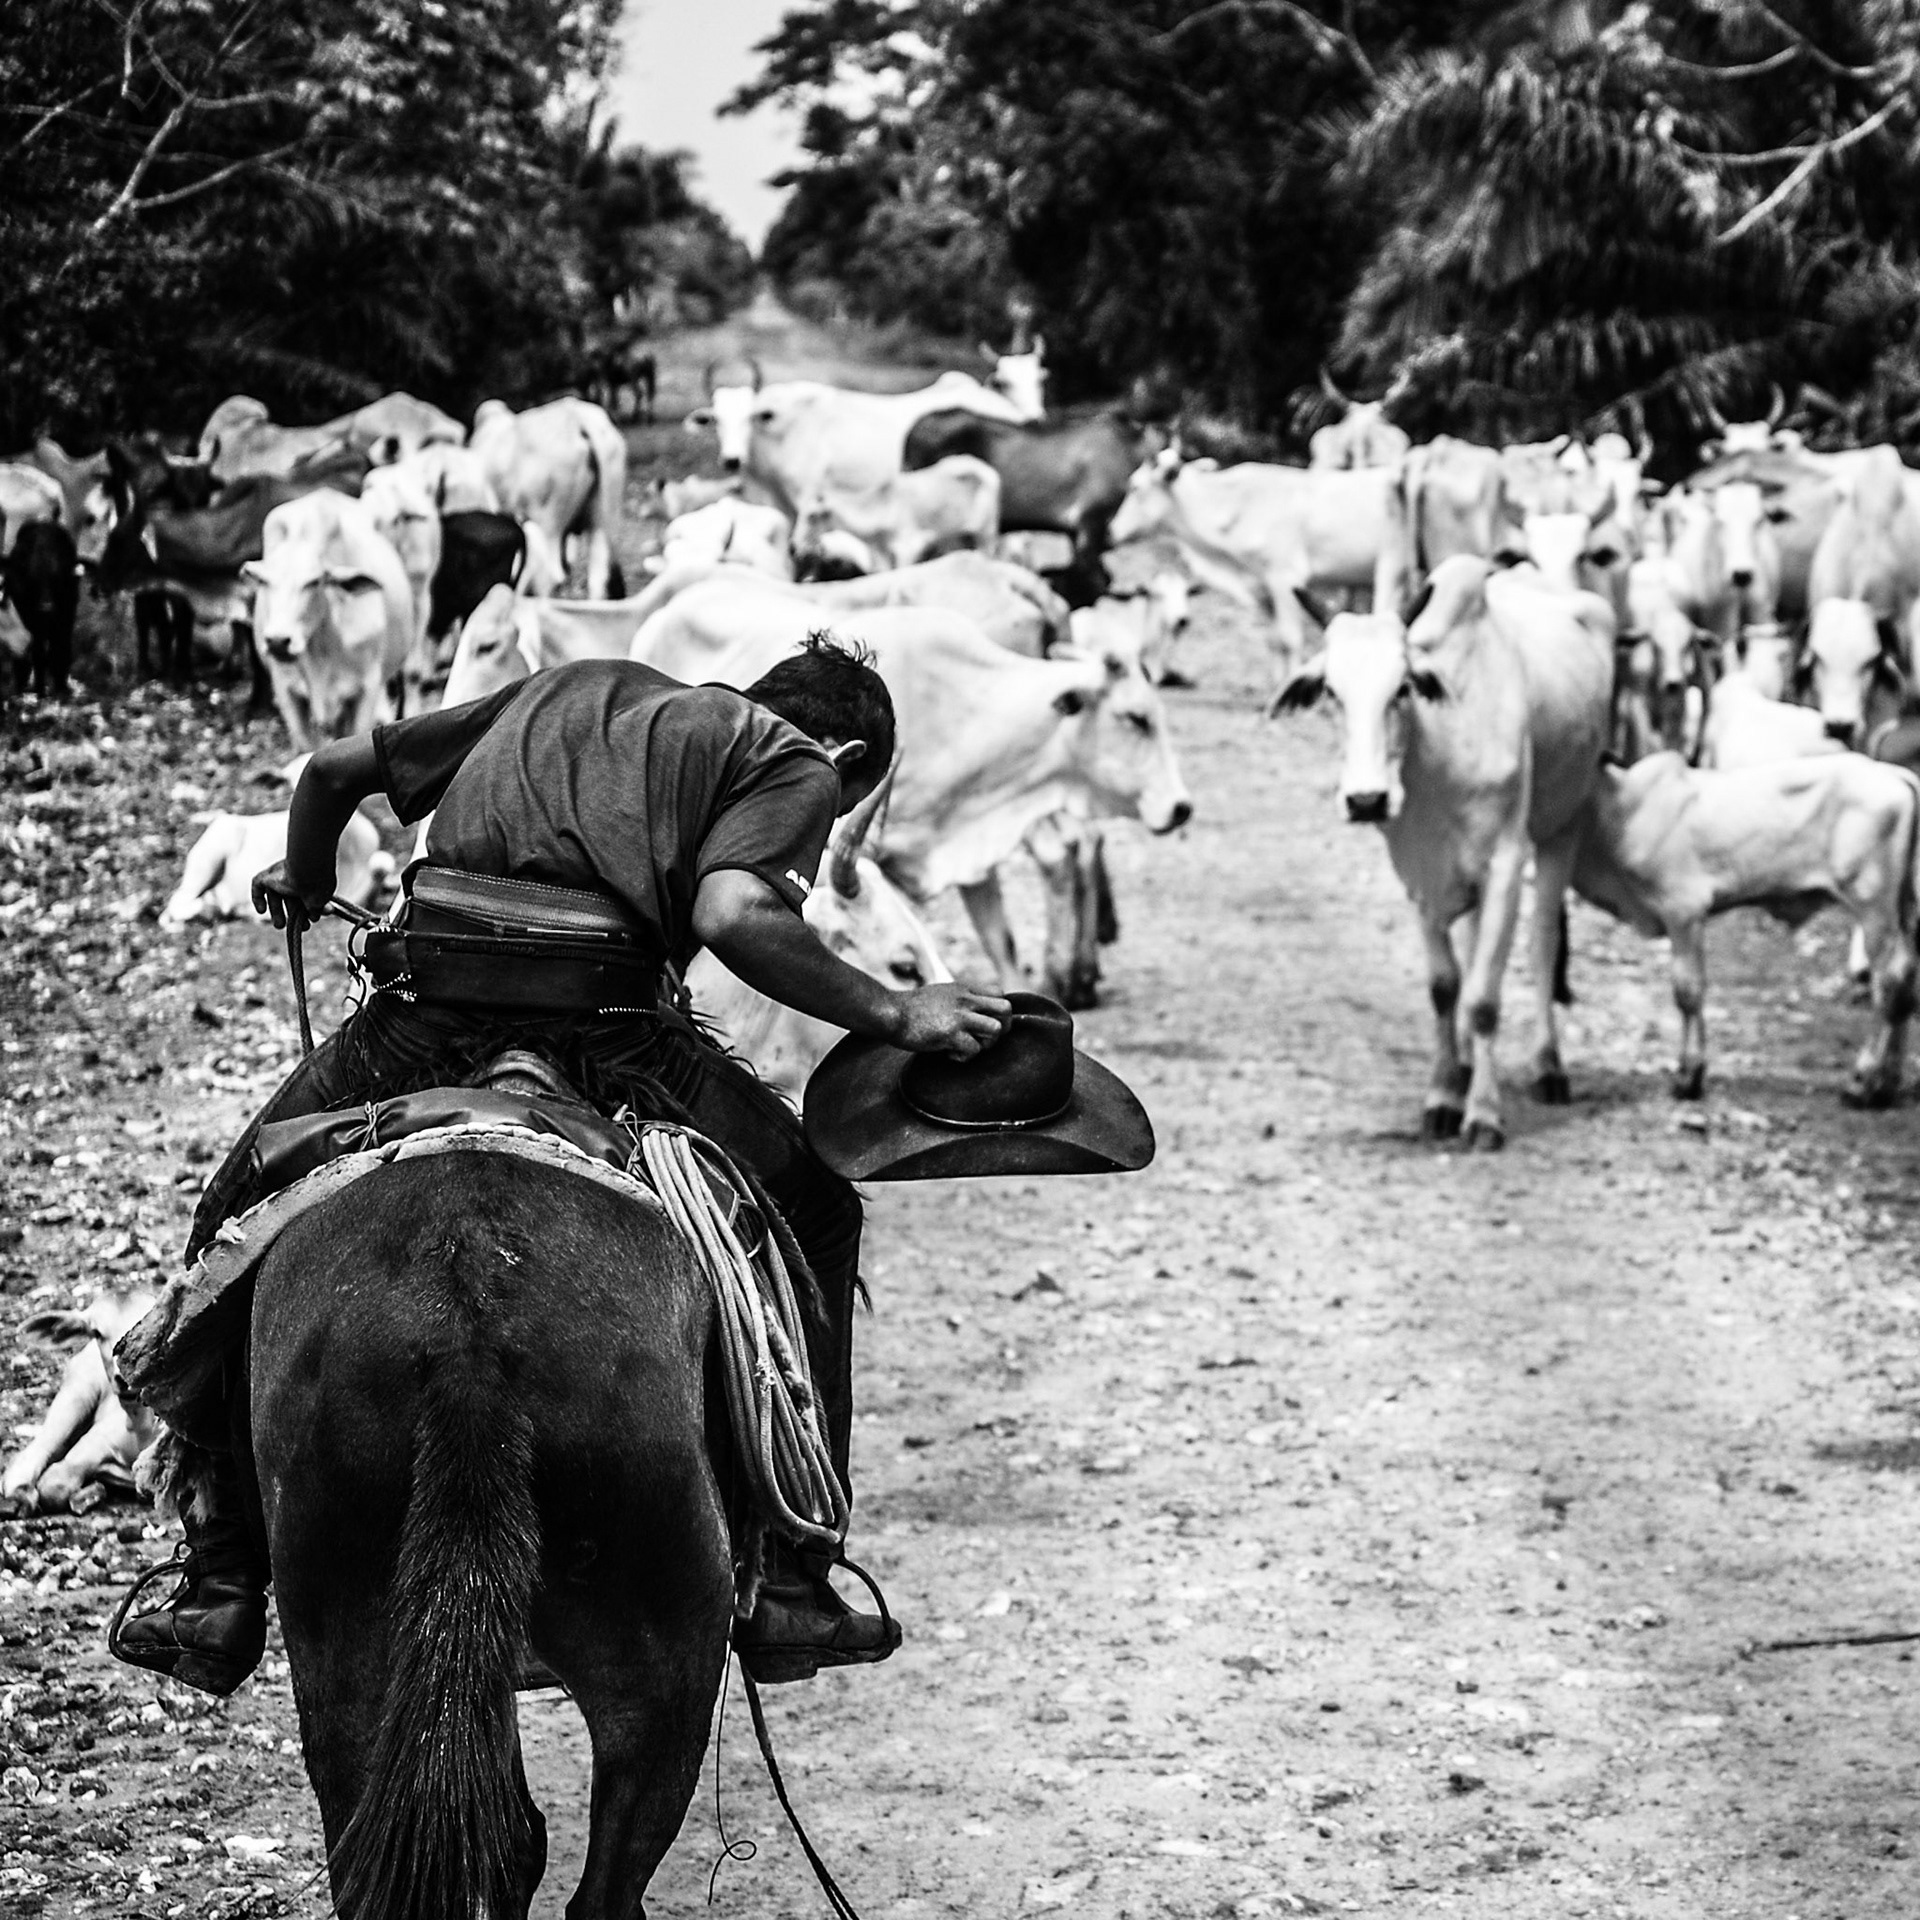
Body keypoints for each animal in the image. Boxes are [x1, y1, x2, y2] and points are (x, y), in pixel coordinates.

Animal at [1, 1286, 160, 1515]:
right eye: (97, 1332)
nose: (124, 1378)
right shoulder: (94, 1441)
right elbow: (52, 1485)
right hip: (76, 1392)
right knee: (31, 1453)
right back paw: (20, 1497)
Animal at [793, 455, 1001, 576]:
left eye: (812, 516)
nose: (793, 546)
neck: (884, 503)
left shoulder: (907, 547)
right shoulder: (881, 552)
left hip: (986, 532)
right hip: (951, 537)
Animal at [1109, 450, 1394, 683]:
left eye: (1134, 487)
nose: (1111, 530)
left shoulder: (1286, 578)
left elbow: (1290, 639)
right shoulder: (1262, 587)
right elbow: (1275, 640)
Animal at [1276, 557, 1615, 1147]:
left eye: (1403, 688)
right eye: (1332, 692)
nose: (1366, 799)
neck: (1439, 753)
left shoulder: (1504, 866)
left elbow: (1482, 999)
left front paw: (1482, 1115)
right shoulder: (1421, 875)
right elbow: (1445, 986)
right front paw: (1442, 1096)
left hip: (1563, 825)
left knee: (1543, 943)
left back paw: (1548, 1066)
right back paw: (1464, 1066)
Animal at [1572, 751, 1919, 1105]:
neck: (1622, 807)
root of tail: (1890, 772)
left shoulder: (1684, 910)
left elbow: (1687, 993)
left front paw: (1689, 1077)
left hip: (1874, 907)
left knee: (1889, 984)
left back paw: (1862, 1083)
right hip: (1904, 909)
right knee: (1907, 981)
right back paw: (1889, 1084)